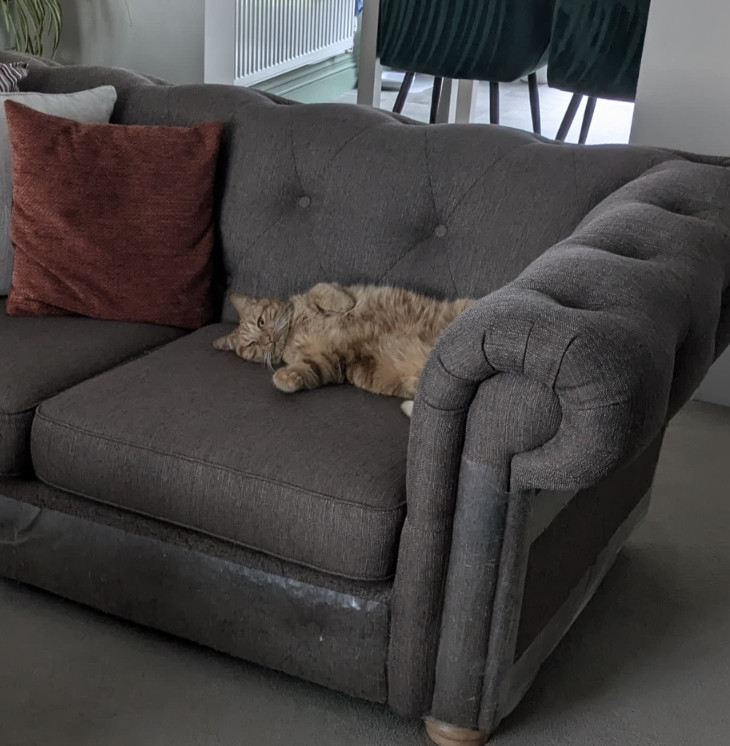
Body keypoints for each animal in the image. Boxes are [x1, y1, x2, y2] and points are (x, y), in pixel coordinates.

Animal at [212, 282, 472, 410]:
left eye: (261, 321)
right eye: (252, 344)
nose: (267, 340)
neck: (293, 331)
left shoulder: (332, 288)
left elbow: (321, 290)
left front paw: (340, 304)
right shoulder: (328, 360)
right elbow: (307, 369)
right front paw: (284, 378)